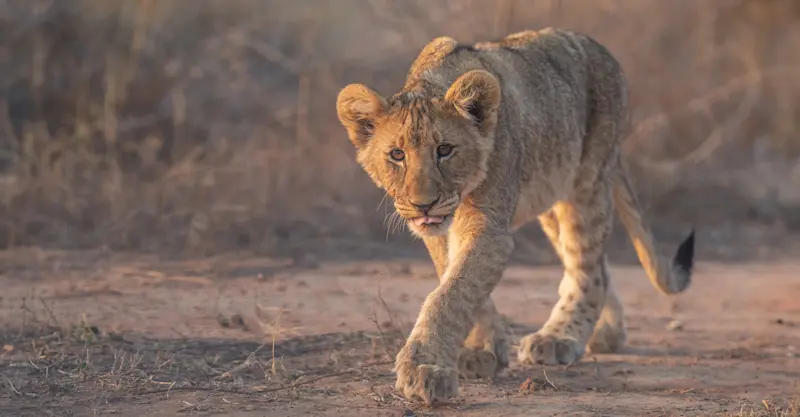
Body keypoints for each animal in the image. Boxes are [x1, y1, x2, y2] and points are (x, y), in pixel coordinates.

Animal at [335, 28, 695, 404]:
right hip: (549, 198)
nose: (423, 204)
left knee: (587, 268)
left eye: (444, 150)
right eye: (397, 154)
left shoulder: (489, 224)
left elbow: (451, 293)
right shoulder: (443, 231)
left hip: (586, 183)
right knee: (595, 264)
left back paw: (559, 337)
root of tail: (600, 48)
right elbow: (456, 278)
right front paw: (482, 350)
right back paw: (607, 332)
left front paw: (424, 370)